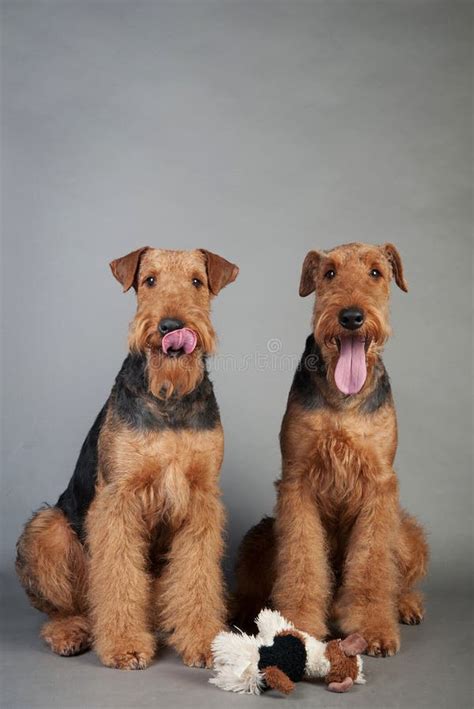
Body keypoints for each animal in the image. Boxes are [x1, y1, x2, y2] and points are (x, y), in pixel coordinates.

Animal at [16, 246, 239, 668]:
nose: (171, 326)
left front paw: (203, 642)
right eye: (149, 280)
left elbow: (197, 577)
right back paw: (70, 633)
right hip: (49, 529)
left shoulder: (201, 499)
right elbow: (118, 577)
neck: (168, 398)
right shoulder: (118, 499)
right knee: (69, 606)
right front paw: (125, 646)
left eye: (197, 282)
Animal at [233, 242, 430, 660]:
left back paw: (405, 605)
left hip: (407, 535)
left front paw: (374, 630)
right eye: (329, 274)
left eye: (376, 273)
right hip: (260, 535)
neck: (344, 400)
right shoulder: (298, 481)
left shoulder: (379, 485)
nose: (351, 316)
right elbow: (303, 564)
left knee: (396, 577)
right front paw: (299, 627)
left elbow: (373, 566)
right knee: (255, 583)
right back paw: (245, 610)